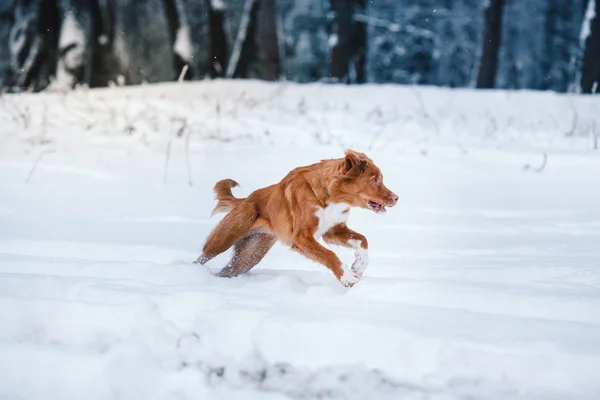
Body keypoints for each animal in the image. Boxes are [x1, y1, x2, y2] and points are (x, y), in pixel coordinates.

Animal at [197, 148, 398, 286]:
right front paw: (347, 277)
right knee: (202, 258)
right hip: (224, 239)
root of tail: (245, 200)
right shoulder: (302, 237)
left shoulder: (333, 231)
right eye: (375, 180)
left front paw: (359, 265)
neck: (329, 196)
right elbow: (330, 255)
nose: (396, 198)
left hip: (251, 254)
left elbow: (363, 240)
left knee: (228, 271)